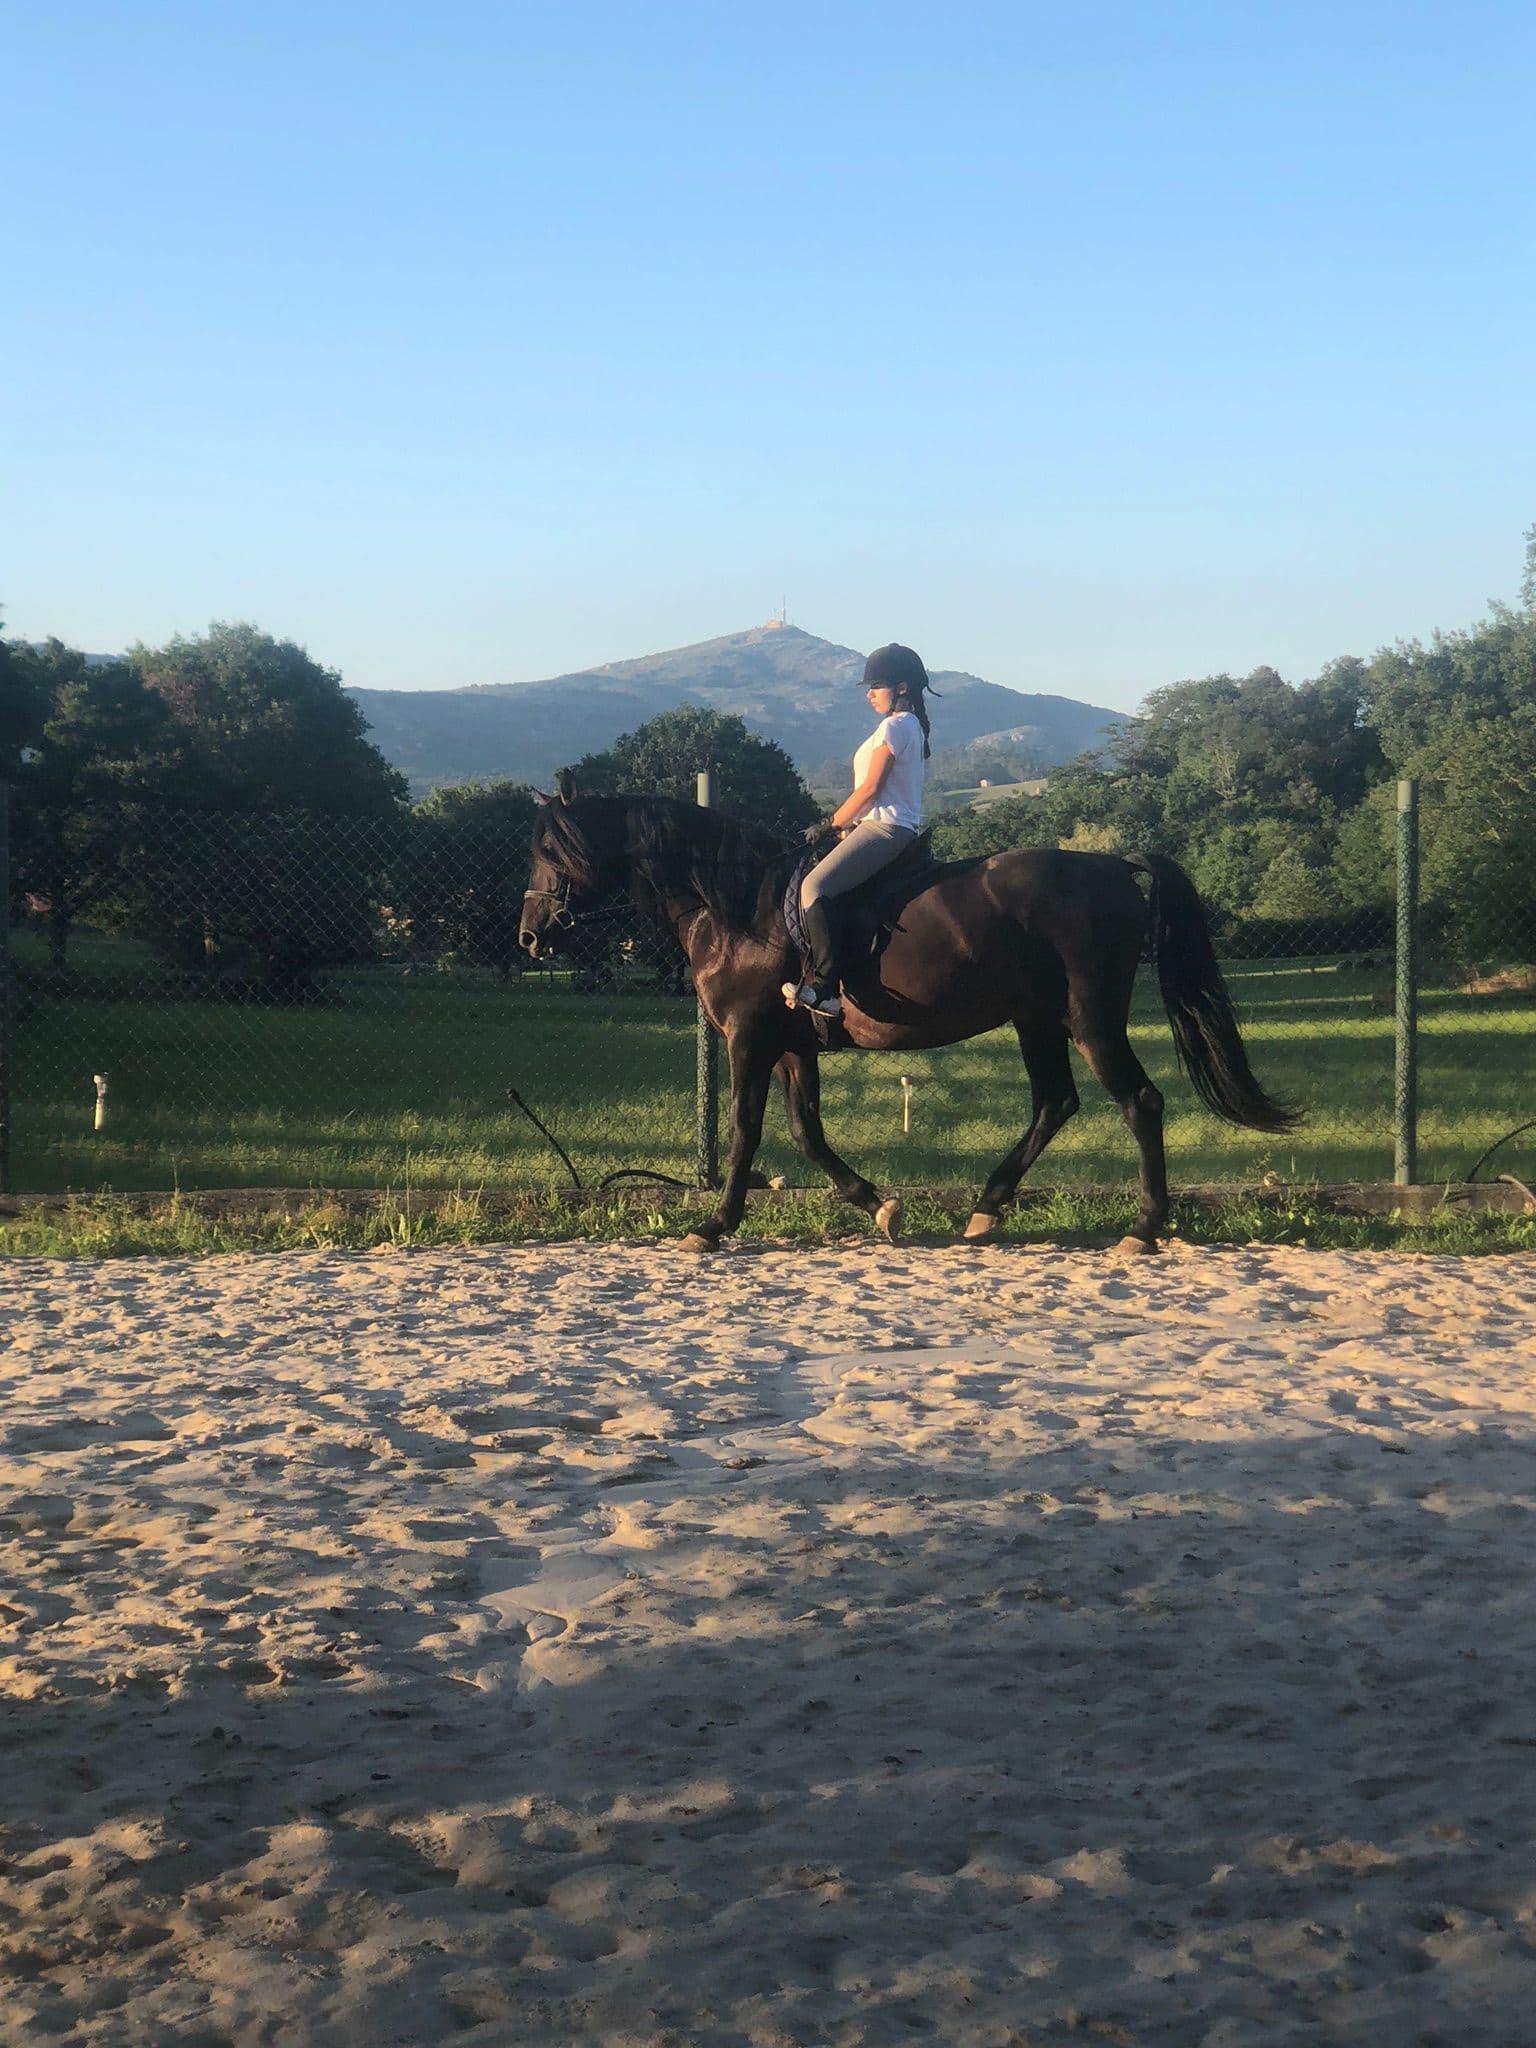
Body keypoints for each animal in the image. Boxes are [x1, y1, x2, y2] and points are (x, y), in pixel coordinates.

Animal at [520, 778, 1302, 1245]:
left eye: (551, 849)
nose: (530, 936)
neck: (738, 907)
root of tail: (1112, 864)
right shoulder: (793, 1045)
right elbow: (806, 1134)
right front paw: (879, 1205)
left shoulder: (750, 1038)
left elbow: (745, 1131)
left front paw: (715, 1226)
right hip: (1036, 1018)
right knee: (1056, 1102)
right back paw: (987, 1209)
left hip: (1090, 1017)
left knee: (1138, 1101)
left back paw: (1143, 1227)